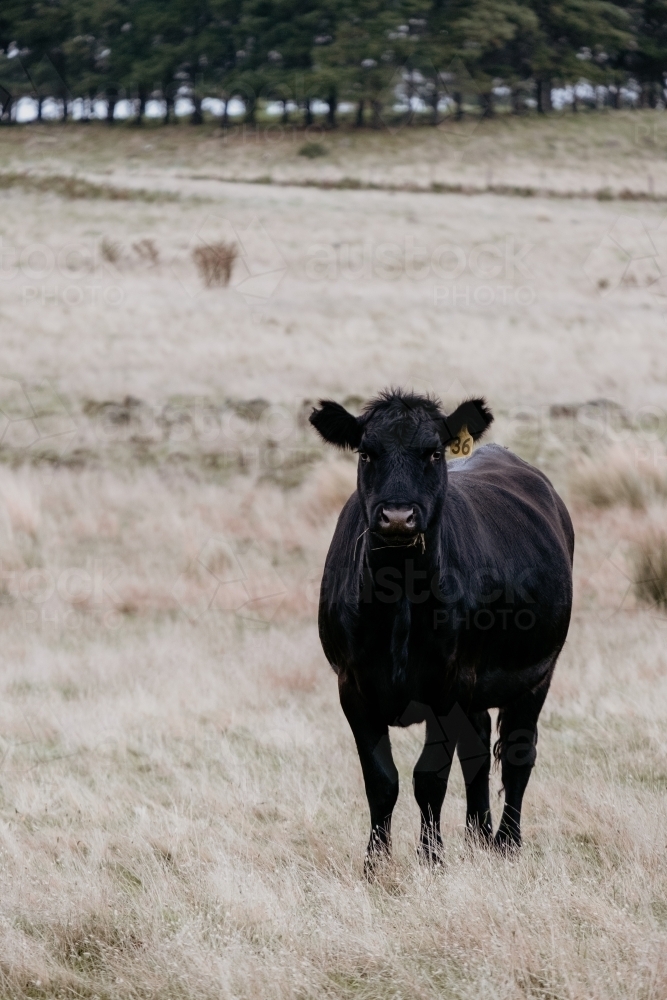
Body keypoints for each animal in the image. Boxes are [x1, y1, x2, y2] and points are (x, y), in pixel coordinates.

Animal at [310, 386, 576, 872]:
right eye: (366, 452)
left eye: (434, 452)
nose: (398, 517)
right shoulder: (352, 686)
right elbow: (382, 779)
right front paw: (376, 862)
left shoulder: (447, 687)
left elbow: (428, 777)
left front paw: (431, 858)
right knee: (479, 751)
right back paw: (478, 835)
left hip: (538, 672)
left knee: (518, 753)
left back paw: (506, 842)